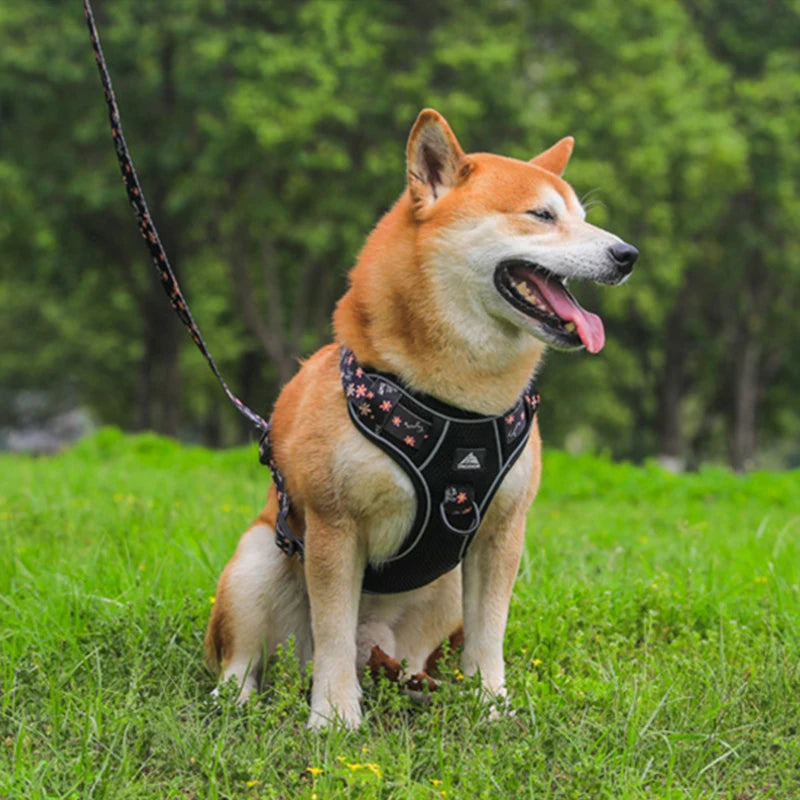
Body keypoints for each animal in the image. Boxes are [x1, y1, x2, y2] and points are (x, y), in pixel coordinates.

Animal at [206, 109, 636, 728]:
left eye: (582, 217)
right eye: (541, 215)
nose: (628, 255)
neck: (458, 407)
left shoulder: (501, 532)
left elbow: (489, 635)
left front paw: (491, 706)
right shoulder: (335, 527)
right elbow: (331, 631)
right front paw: (333, 717)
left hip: (441, 590)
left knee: (408, 657)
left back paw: (417, 686)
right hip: (257, 559)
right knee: (247, 658)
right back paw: (239, 701)